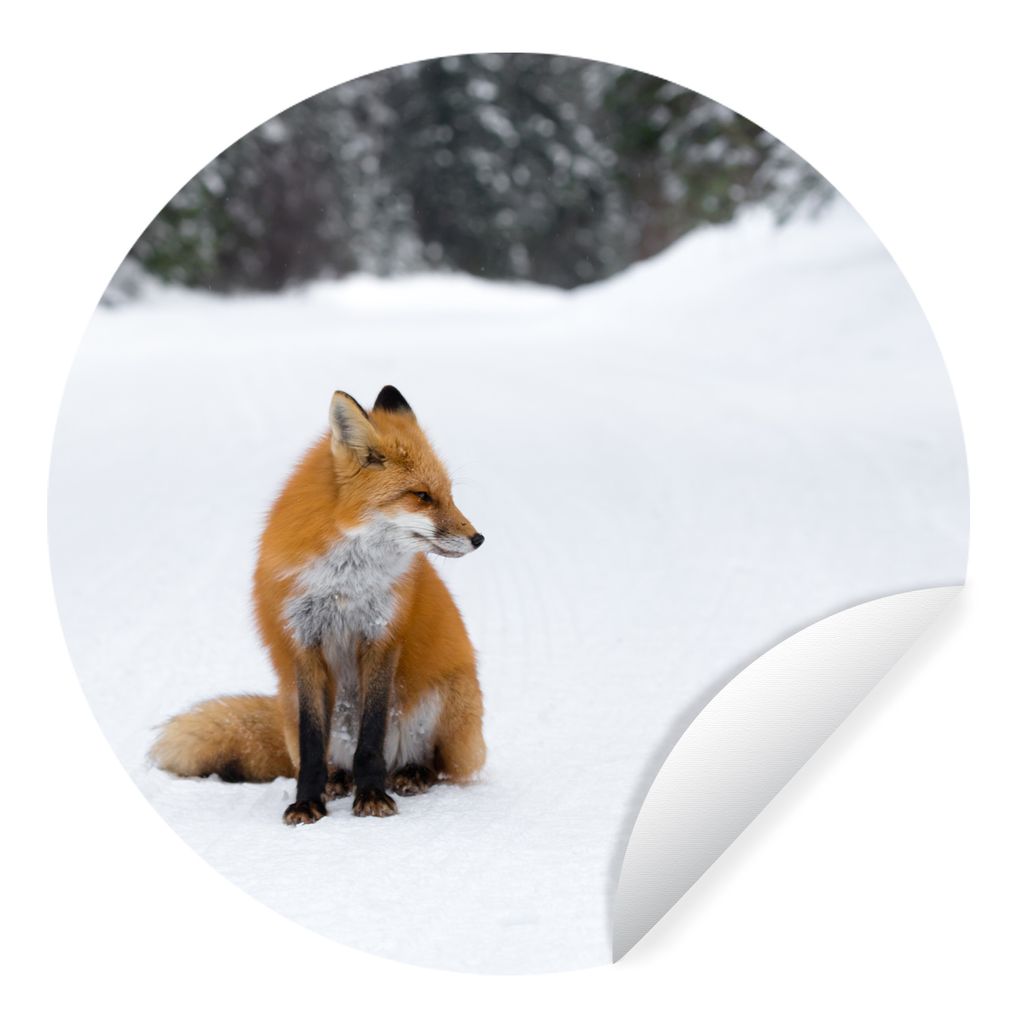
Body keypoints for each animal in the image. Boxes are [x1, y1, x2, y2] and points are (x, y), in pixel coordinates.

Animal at [150, 385, 486, 824]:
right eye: (422, 496)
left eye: (448, 494)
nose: (479, 538)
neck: (344, 583)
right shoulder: (303, 641)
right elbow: (312, 748)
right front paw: (308, 801)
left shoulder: (381, 637)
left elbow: (371, 739)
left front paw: (371, 797)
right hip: (292, 701)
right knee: (327, 758)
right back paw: (337, 780)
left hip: (445, 701)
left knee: (435, 763)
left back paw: (410, 774)